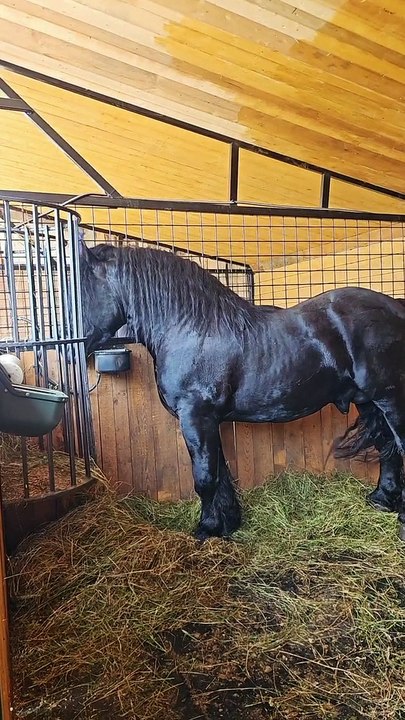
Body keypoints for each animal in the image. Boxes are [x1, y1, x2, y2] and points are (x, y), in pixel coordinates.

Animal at [79, 240, 405, 541]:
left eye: (80, 287)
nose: (75, 348)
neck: (193, 328)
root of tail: (395, 306)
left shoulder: (196, 417)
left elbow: (205, 478)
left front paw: (206, 528)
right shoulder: (209, 421)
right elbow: (220, 472)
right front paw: (226, 525)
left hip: (390, 399)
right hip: (368, 401)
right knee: (387, 447)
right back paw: (382, 499)